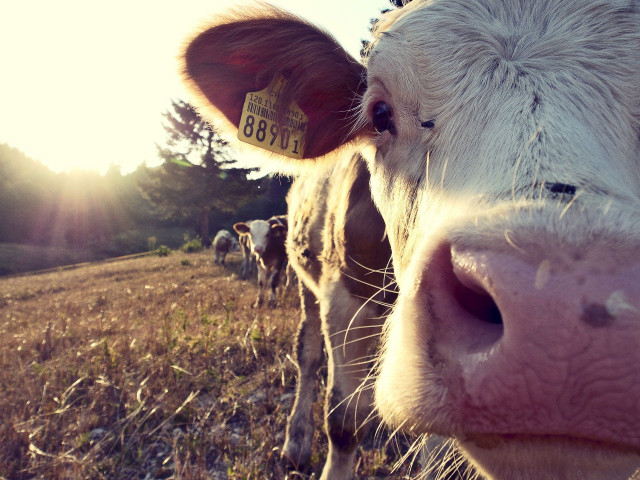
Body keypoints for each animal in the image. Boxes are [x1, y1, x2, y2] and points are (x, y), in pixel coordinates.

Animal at [182, 1, 640, 480]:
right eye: (380, 115)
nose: (555, 324)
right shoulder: (343, 297)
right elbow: (344, 420)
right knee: (307, 355)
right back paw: (295, 442)